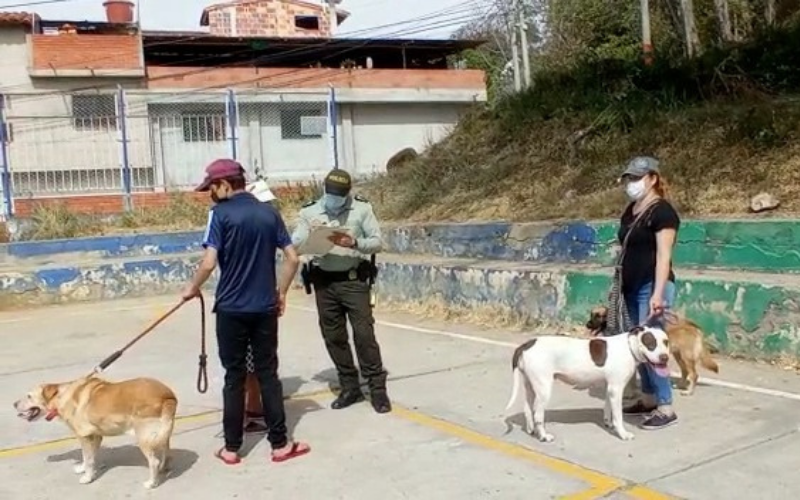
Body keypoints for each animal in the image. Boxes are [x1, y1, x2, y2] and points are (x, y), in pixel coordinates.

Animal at [13, 376, 177, 488]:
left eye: (29, 396)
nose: (14, 403)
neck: (61, 397)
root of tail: (168, 396)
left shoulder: (84, 436)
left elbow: (88, 458)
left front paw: (87, 477)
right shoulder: (95, 436)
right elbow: (88, 458)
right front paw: (83, 469)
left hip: (144, 436)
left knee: (154, 461)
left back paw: (152, 482)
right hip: (162, 433)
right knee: (166, 452)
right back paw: (163, 468)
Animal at [510, 328, 672, 442]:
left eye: (666, 342)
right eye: (650, 344)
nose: (664, 357)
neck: (629, 348)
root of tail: (527, 345)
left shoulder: (609, 388)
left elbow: (607, 407)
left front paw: (608, 423)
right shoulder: (616, 389)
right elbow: (618, 416)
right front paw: (622, 433)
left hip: (531, 385)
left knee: (527, 408)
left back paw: (531, 429)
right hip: (544, 389)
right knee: (538, 414)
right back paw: (543, 436)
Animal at [584, 304, 720, 394]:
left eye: (598, 316)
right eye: (591, 314)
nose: (587, 325)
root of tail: (694, 327)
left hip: (686, 357)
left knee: (694, 374)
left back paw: (689, 391)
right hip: (678, 356)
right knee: (685, 371)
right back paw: (680, 385)